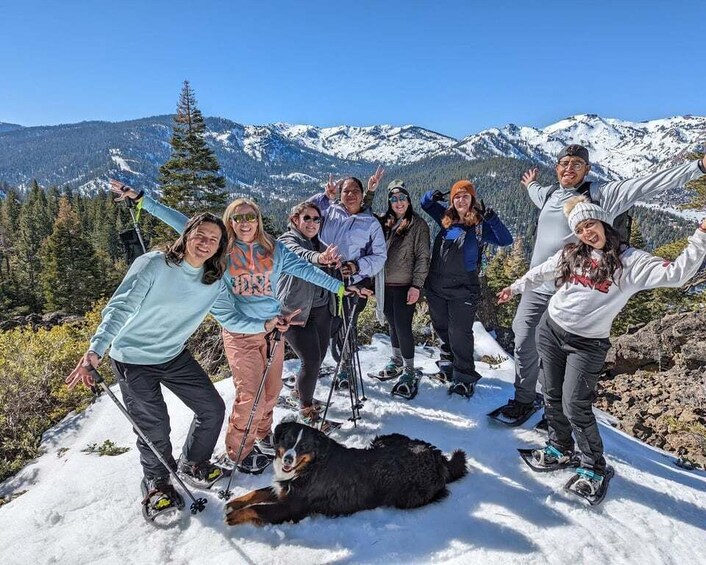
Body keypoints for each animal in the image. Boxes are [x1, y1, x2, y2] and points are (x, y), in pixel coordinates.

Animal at [226, 418, 468, 524]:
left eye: (304, 447)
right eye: (287, 441)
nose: (287, 458)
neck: (311, 466)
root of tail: (437, 457)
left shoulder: (292, 507)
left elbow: (258, 508)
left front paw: (235, 516)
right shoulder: (283, 488)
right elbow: (256, 493)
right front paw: (234, 502)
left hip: (406, 496)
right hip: (382, 439)